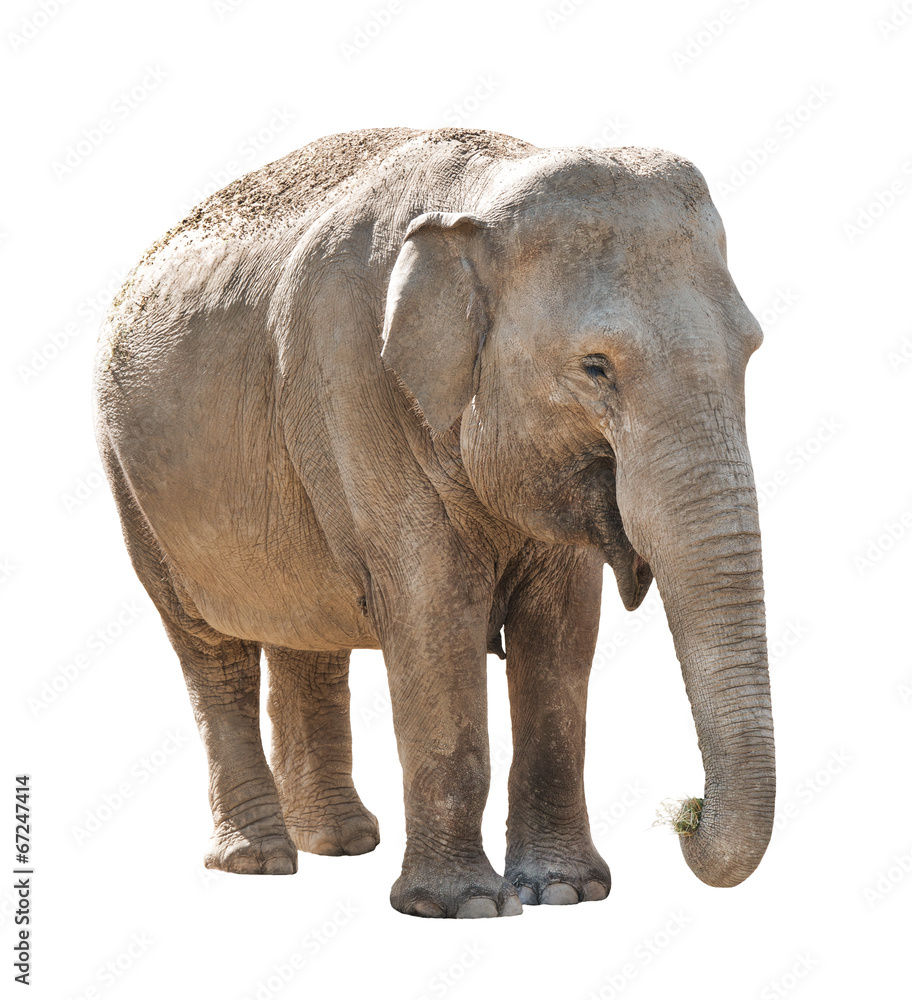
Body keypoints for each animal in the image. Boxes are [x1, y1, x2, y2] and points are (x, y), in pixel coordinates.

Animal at [93, 126, 774, 919]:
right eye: (596, 367)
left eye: (750, 351)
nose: (683, 818)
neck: (483, 193)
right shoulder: (358, 386)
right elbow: (433, 613)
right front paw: (464, 906)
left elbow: (565, 628)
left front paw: (565, 892)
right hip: (132, 484)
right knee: (208, 649)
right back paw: (258, 861)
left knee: (308, 631)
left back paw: (341, 843)